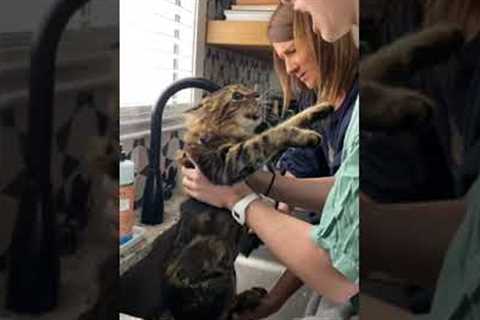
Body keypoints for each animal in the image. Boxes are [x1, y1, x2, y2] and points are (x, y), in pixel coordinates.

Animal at [161, 84, 334, 318]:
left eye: (249, 90)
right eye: (236, 96)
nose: (258, 94)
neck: (226, 133)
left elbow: (289, 121)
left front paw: (320, 108)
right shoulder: (225, 163)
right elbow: (270, 136)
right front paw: (306, 136)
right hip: (218, 267)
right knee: (225, 311)